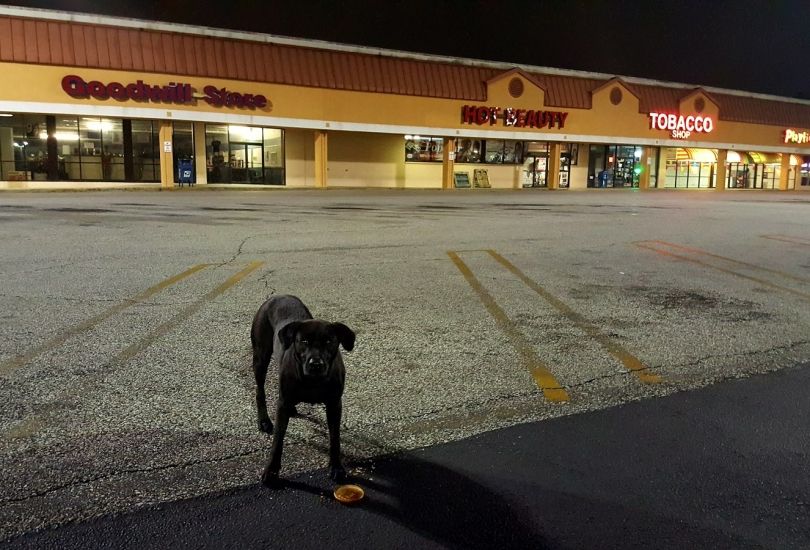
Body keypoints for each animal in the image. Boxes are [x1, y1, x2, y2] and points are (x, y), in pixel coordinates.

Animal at [251, 296, 356, 490]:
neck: (312, 381)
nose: (316, 364)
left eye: (329, 341)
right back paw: (264, 420)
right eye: (304, 341)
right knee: (259, 390)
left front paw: (336, 467)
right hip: (260, 356)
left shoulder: (334, 404)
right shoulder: (282, 403)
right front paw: (271, 471)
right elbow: (278, 440)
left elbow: (335, 437)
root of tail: (276, 296)